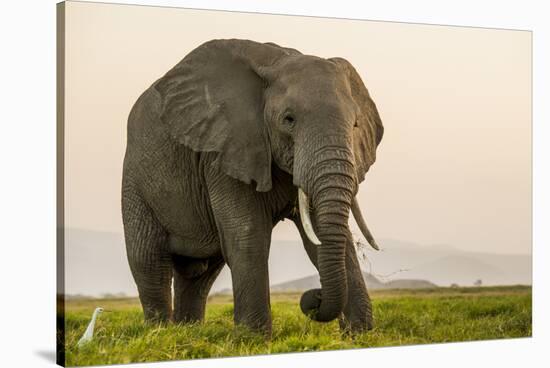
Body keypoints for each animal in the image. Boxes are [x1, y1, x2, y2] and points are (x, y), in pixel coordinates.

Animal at [123, 38, 386, 336]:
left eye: (355, 124)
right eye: (288, 119)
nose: (312, 298)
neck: (277, 62)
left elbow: (321, 236)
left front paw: (360, 335)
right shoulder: (225, 149)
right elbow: (248, 233)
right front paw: (254, 338)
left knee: (199, 276)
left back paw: (188, 331)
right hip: (135, 180)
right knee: (148, 260)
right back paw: (159, 333)